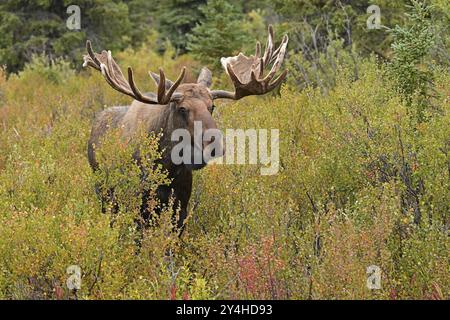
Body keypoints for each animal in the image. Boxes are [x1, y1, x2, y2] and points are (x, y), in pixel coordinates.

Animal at [83, 25, 288, 232]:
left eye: (212, 106)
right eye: (182, 108)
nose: (214, 145)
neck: (168, 166)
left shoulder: (181, 204)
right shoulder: (139, 204)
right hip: (104, 193)